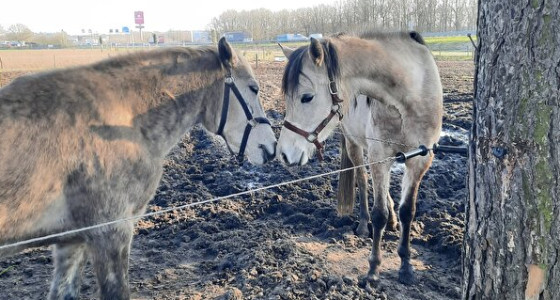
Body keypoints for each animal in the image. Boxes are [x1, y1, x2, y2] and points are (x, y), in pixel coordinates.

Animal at [276, 32, 442, 286]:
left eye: (307, 97)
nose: (284, 153)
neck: (413, 96)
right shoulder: (379, 155)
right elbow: (378, 213)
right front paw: (373, 268)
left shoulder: (420, 159)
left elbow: (408, 211)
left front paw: (406, 265)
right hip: (355, 145)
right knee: (363, 181)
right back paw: (364, 225)